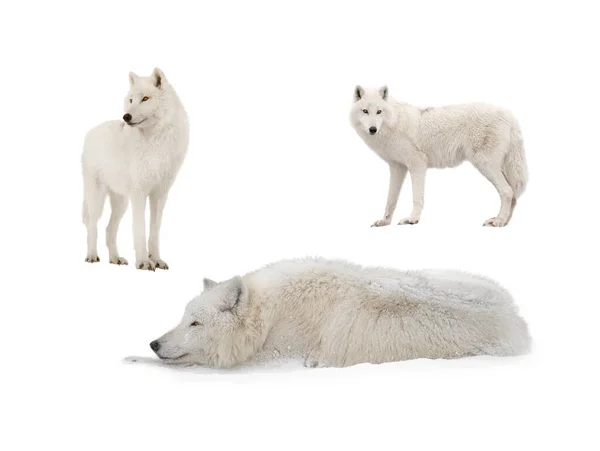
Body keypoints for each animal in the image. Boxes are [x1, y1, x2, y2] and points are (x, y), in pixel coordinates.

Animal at [80, 69, 188, 270]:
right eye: (131, 100)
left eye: (145, 98)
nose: (126, 117)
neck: (155, 142)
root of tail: (91, 132)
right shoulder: (139, 193)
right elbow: (140, 230)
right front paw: (144, 261)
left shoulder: (160, 195)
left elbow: (154, 232)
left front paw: (157, 260)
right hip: (97, 197)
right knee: (92, 225)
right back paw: (91, 256)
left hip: (121, 201)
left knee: (109, 229)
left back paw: (115, 258)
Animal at [149, 256, 528, 370]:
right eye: (183, 317)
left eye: (195, 322)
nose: (153, 343)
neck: (270, 315)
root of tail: (520, 323)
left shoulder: (281, 351)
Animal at [350, 86, 528, 228]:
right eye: (365, 111)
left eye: (379, 111)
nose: (372, 129)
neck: (394, 122)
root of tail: (508, 114)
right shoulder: (397, 167)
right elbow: (390, 199)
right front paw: (385, 221)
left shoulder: (417, 164)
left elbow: (417, 197)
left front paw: (412, 219)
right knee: (513, 194)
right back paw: (503, 220)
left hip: (485, 164)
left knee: (507, 191)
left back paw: (499, 221)